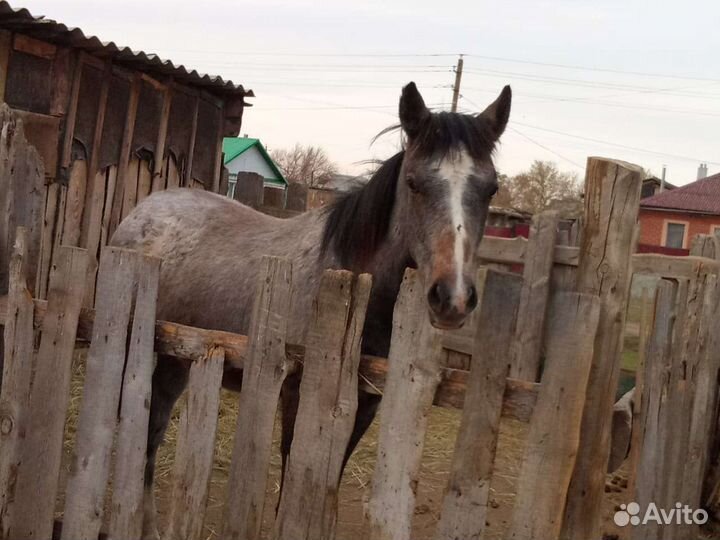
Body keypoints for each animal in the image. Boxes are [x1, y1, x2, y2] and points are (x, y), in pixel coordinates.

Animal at [111, 81, 511, 538]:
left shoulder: (364, 408)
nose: (453, 298)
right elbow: (293, 487)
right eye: (414, 183)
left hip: (176, 362)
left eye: (491, 188)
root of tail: (143, 211)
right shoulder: (298, 397)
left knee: (152, 431)